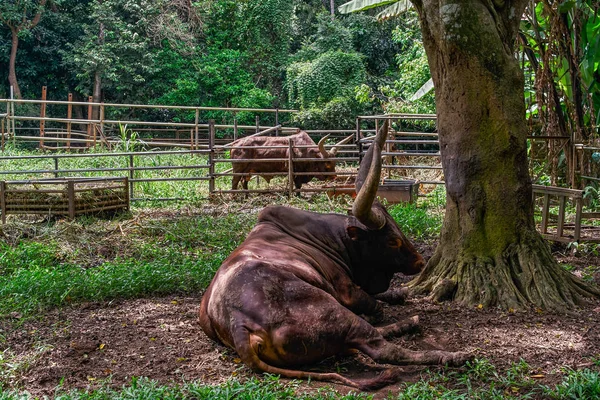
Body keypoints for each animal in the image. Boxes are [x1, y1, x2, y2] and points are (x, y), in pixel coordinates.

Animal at [199, 122, 472, 390]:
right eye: (393, 240)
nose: (420, 262)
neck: (331, 238)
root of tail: (238, 324)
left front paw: (399, 293)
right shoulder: (346, 290)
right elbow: (374, 304)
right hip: (334, 312)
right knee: (380, 346)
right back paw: (446, 352)